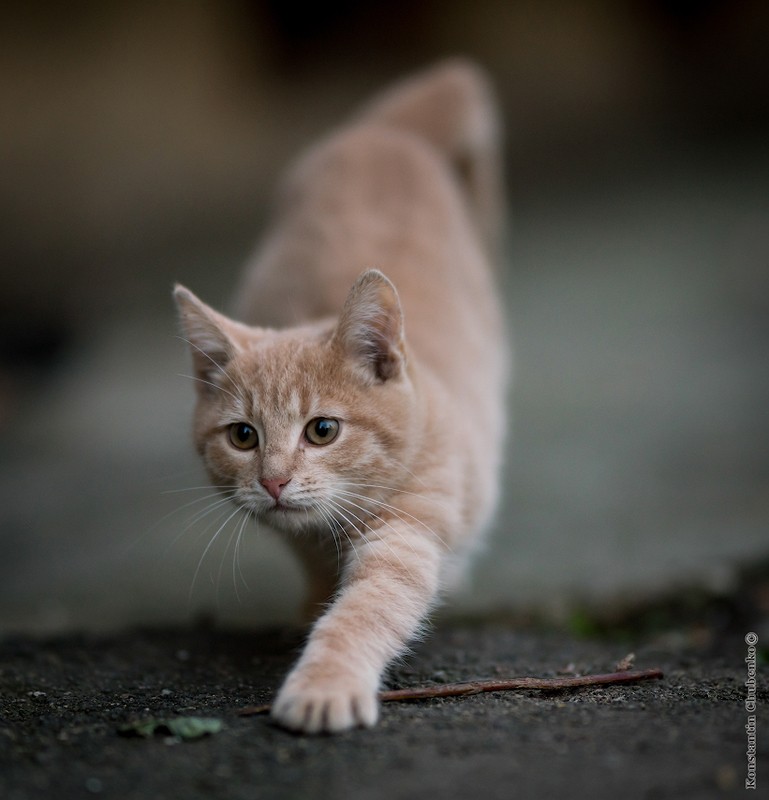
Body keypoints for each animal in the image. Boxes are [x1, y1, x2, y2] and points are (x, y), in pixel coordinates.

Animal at [175, 57, 510, 732]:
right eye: (243, 436)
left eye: (322, 430)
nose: (274, 481)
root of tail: (383, 133)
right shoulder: (294, 532)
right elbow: (310, 566)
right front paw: (309, 608)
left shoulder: (411, 526)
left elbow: (368, 608)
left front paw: (324, 681)